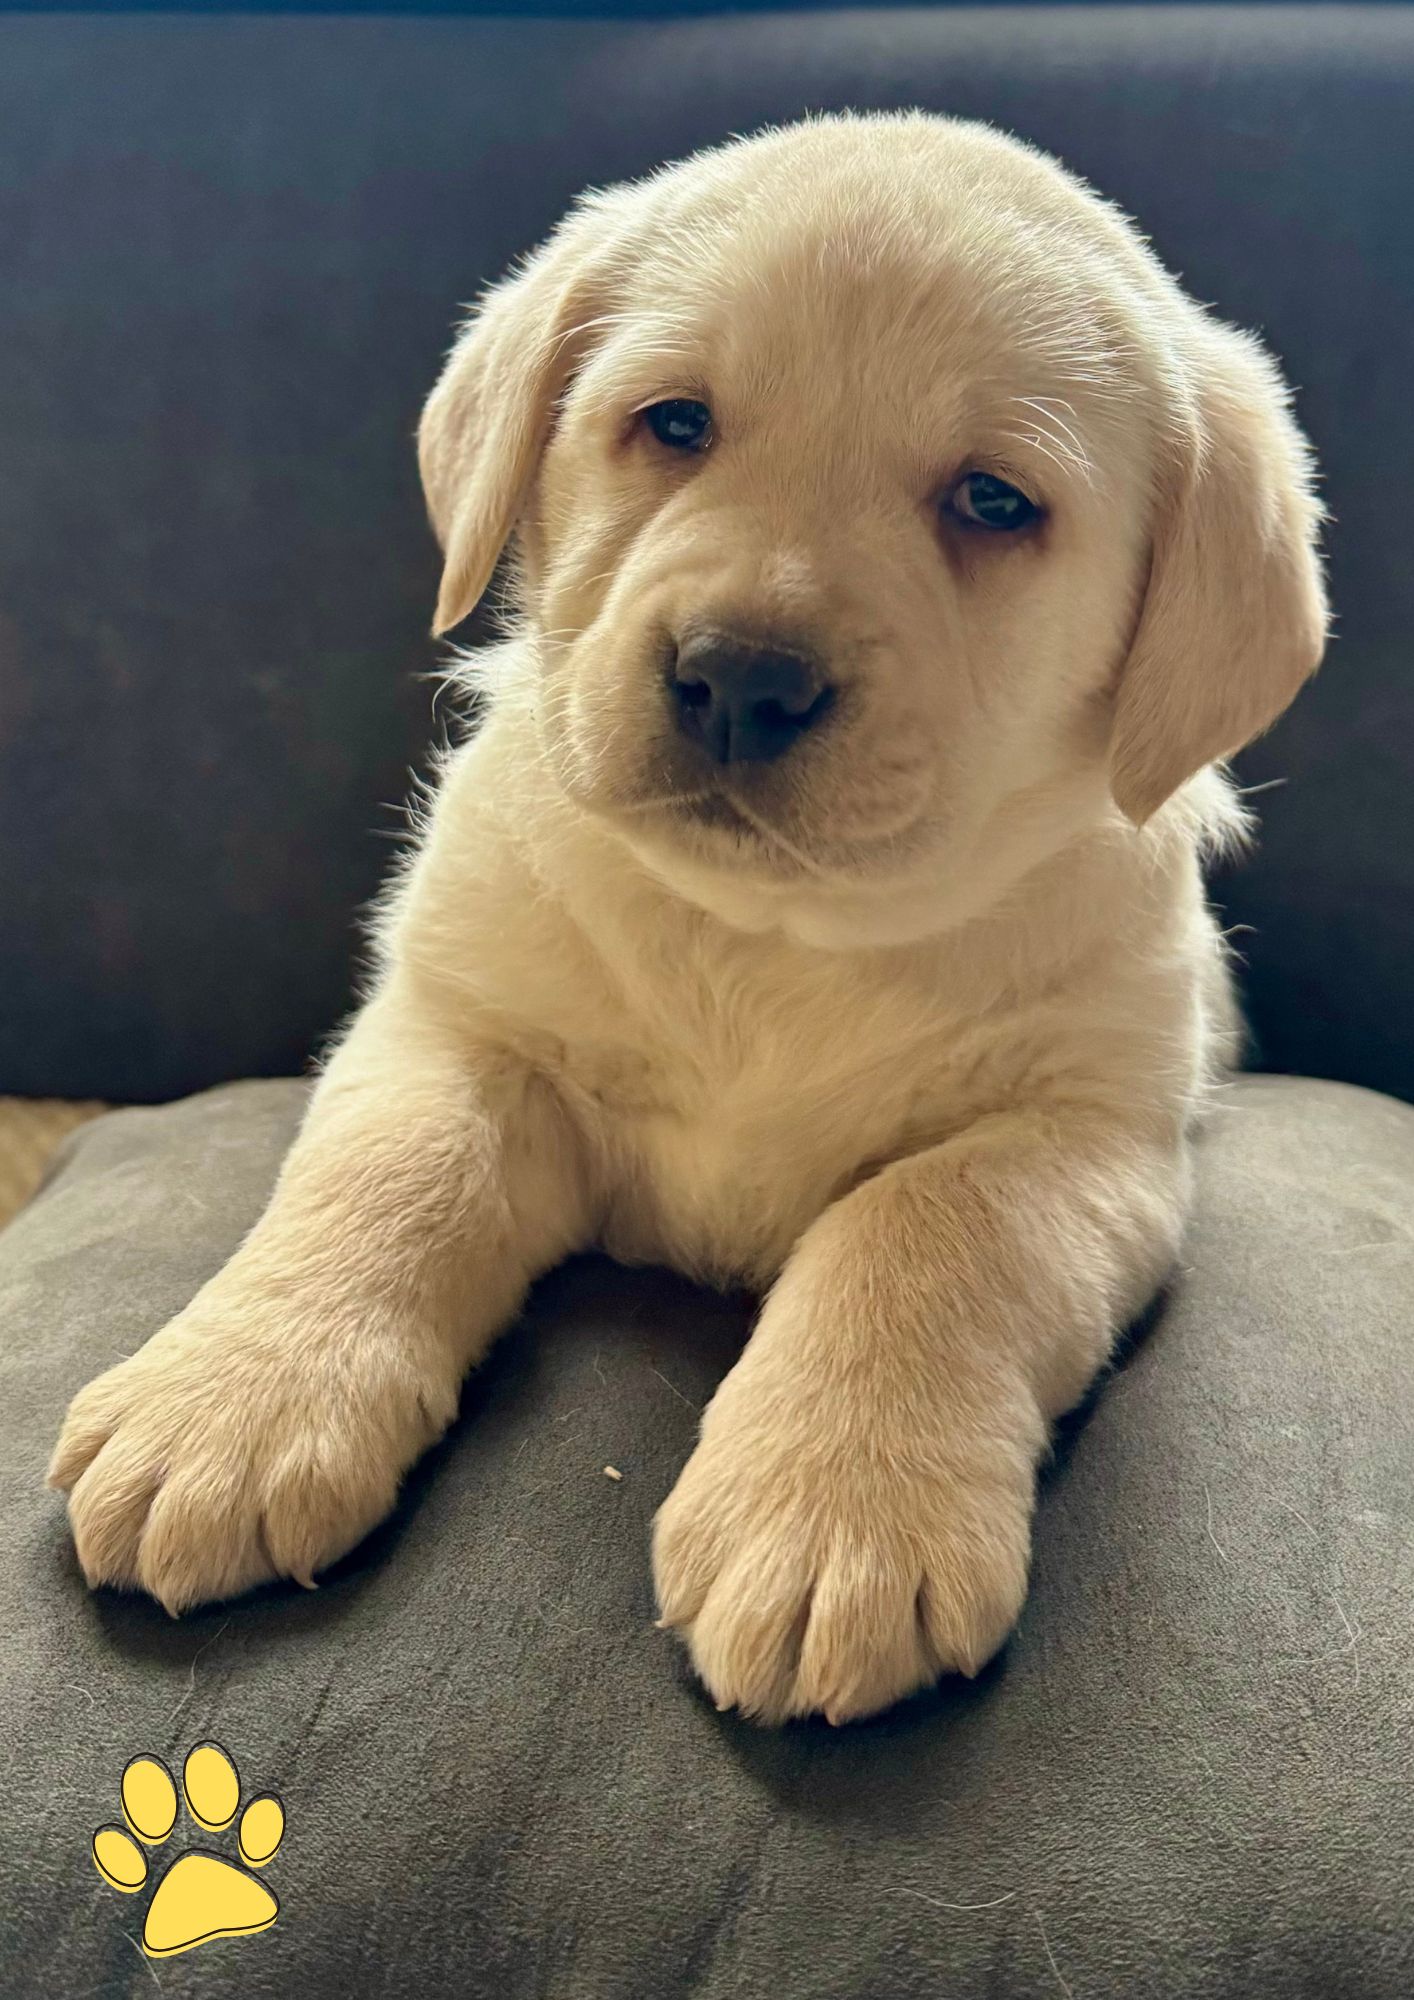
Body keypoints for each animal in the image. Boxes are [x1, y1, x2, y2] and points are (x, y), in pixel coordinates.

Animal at [47, 117, 1328, 1728]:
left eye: (992, 502)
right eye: (673, 424)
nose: (741, 677)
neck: (768, 934)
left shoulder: (1090, 1133)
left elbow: (925, 1225)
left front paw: (834, 1514)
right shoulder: (454, 1023)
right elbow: (389, 1172)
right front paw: (225, 1403)